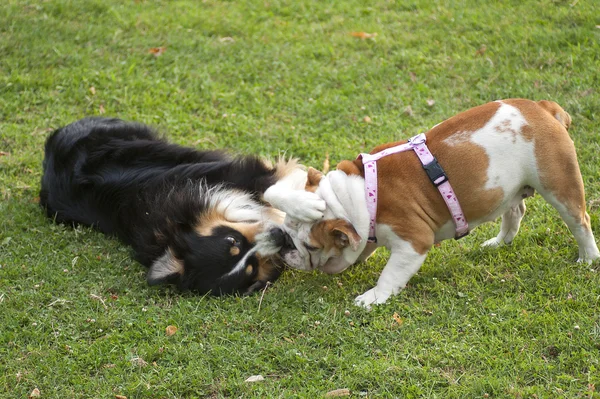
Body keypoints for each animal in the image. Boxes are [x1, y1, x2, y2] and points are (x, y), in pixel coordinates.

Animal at [39, 117, 326, 296]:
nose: (279, 236)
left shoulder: (234, 173)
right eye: (251, 267)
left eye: (232, 240)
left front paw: (307, 204)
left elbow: (272, 188)